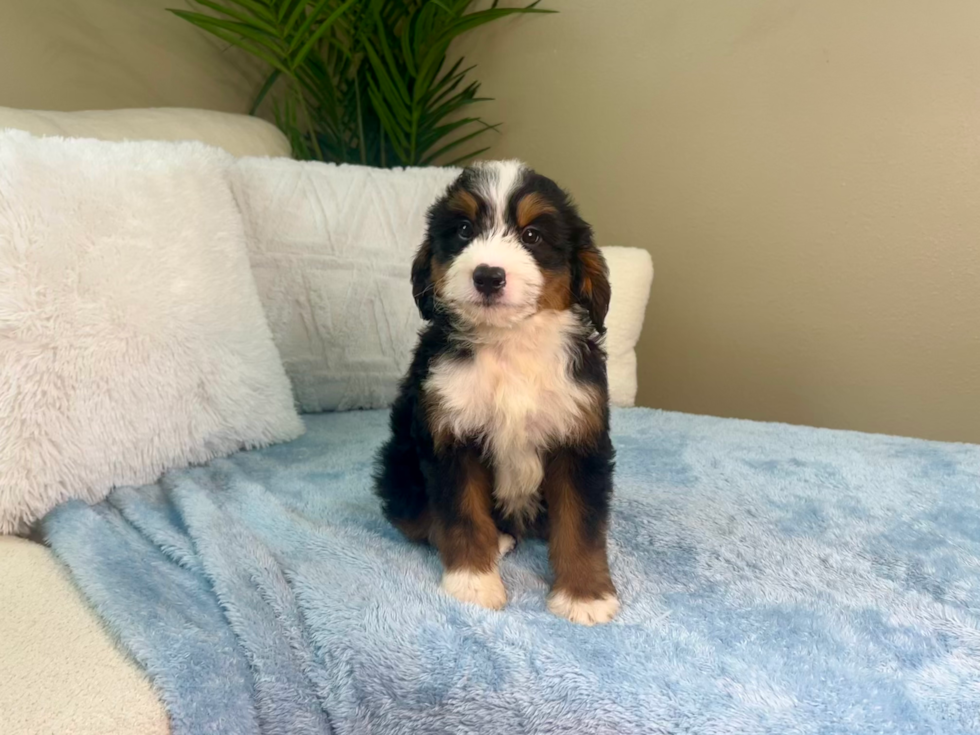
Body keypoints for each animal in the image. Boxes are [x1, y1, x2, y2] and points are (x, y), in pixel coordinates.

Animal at [378, 161, 620, 628]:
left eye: (532, 236)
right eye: (464, 229)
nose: (488, 275)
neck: (509, 344)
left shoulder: (579, 440)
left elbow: (580, 524)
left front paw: (584, 596)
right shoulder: (450, 435)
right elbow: (461, 515)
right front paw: (473, 583)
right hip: (400, 465)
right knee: (419, 520)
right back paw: (498, 541)